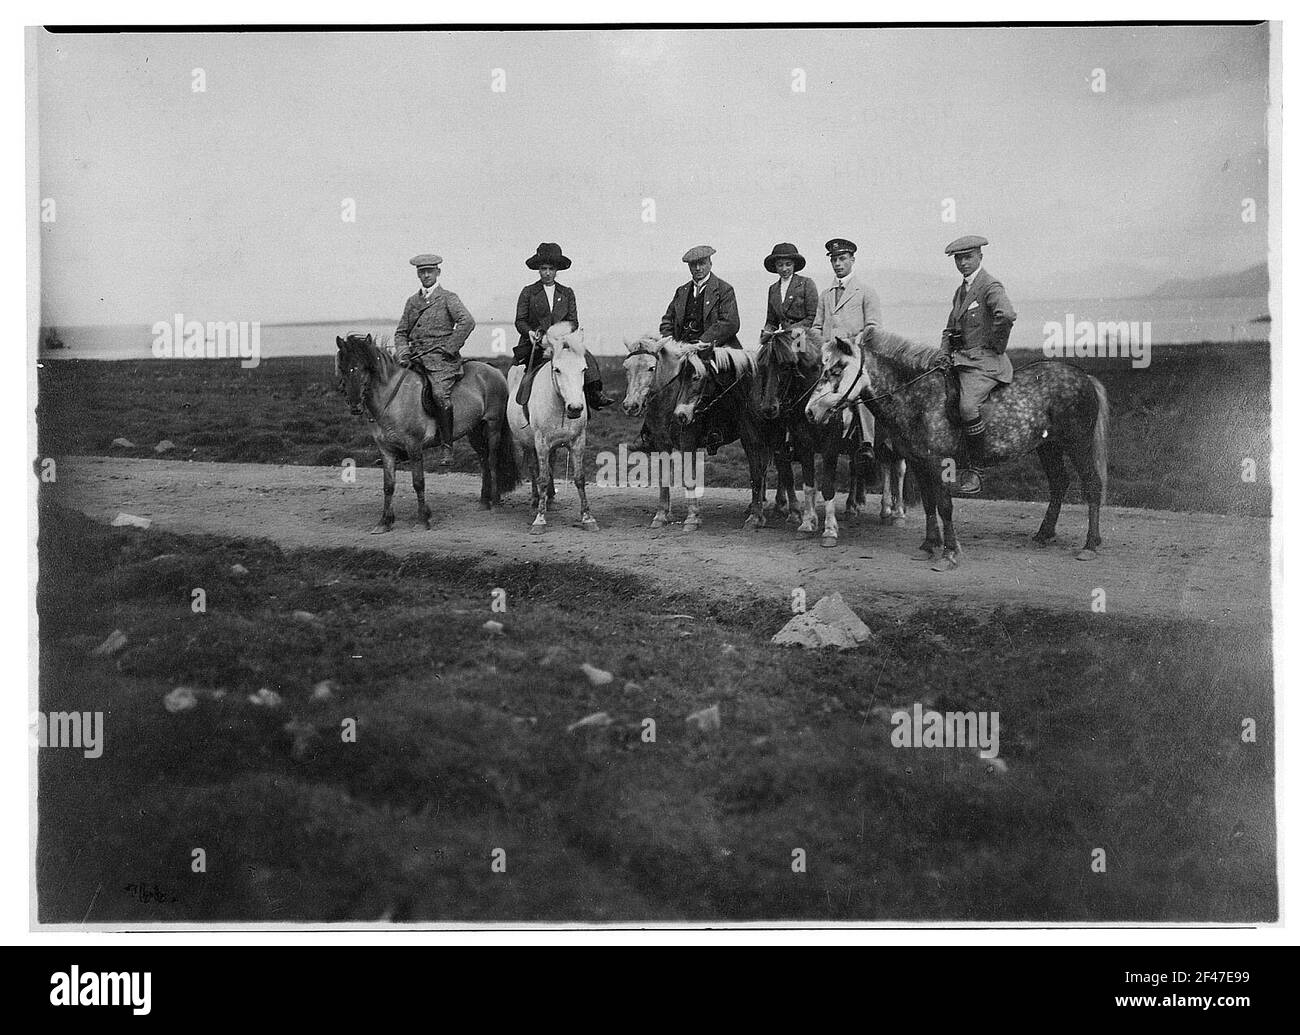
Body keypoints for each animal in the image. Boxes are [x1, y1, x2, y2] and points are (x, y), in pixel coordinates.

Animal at [335, 335, 517, 533]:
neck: (392, 400)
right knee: (483, 460)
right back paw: (484, 502)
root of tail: (493, 369)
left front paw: (423, 519)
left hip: (492, 426)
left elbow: (418, 482)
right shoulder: (386, 450)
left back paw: (496, 503)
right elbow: (388, 486)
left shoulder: (414, 447)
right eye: (343, 368)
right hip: (474, 430)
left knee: (492, 461)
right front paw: (384, 522)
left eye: (365, 367)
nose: (355, 405)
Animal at [504, 323, 595, 533]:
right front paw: (539, 519)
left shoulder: (578, 441)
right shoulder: (541, 443)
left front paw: (587, 518)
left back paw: (550, 499)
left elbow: (579, 478)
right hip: (527, 442)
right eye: (557, 370)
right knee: (533, 469)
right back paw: (536, 500)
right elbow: (542, 477)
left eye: (583, 369)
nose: (575, 408)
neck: (560, 404)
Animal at [748, 328, 909, 540]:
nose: (768, 408)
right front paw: (807, 523)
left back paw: (898, 513)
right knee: (885, 467)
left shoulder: (830, 448)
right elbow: (809, 486)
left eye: (786, 366)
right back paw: (884, 510)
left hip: (896, 442)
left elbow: (827, 487)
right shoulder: (804, 446)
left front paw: (830, 529)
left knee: (898, 470)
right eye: (764, 365)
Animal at [806, 328, 1112, 566]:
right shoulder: (919, 463)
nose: (810, 412)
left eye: (836, 369)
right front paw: (929, 545)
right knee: (1059, 483)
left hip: (1077, 443)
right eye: (821, 368)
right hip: (1048, 447)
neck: (916, 397)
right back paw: (1044, 534)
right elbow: (929, 504)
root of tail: (1084, 377)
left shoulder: (939, 463)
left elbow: (945, 506)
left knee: (1092, 485)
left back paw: (1089, 544)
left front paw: (950, 552)